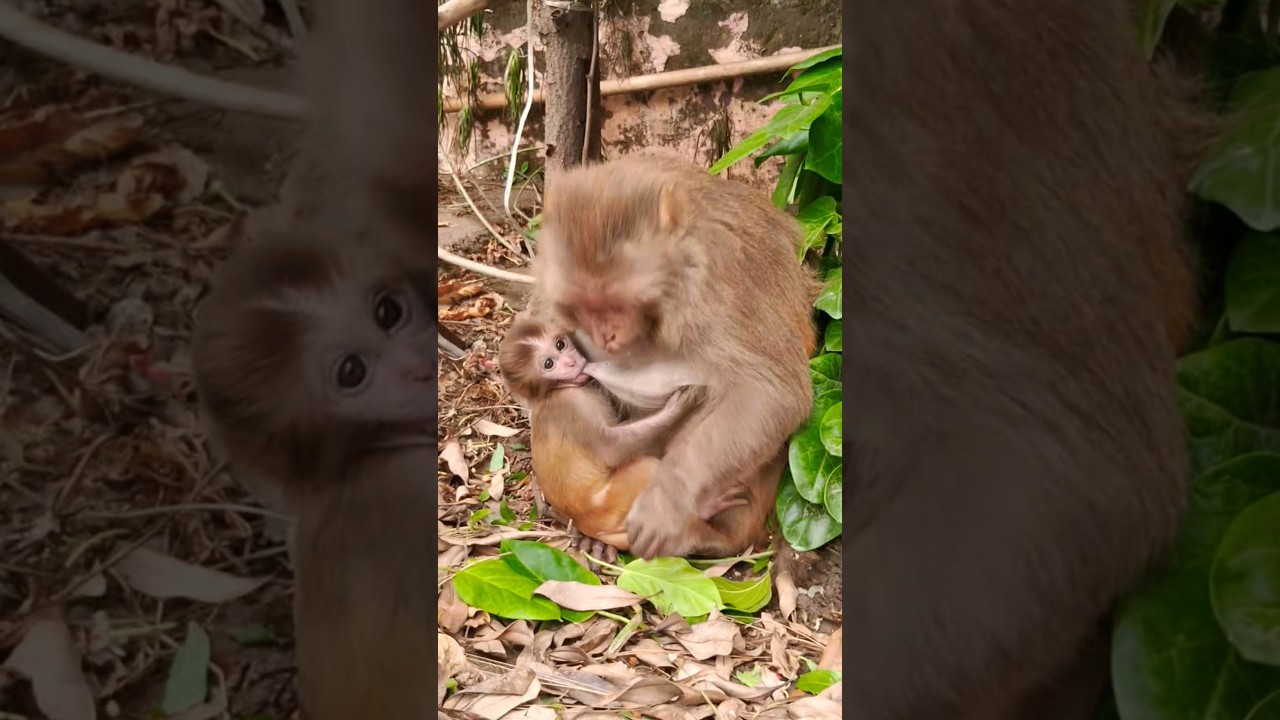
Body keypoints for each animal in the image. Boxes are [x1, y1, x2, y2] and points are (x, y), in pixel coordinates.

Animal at [498, 316, 771, 558]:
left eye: (560, 344)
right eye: (548, 364)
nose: (569, 362)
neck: (554, 391)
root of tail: (590, 525)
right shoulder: (571, 407)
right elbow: (611, 449)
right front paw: (678, 406)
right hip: (615, 500)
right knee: (647, 468)